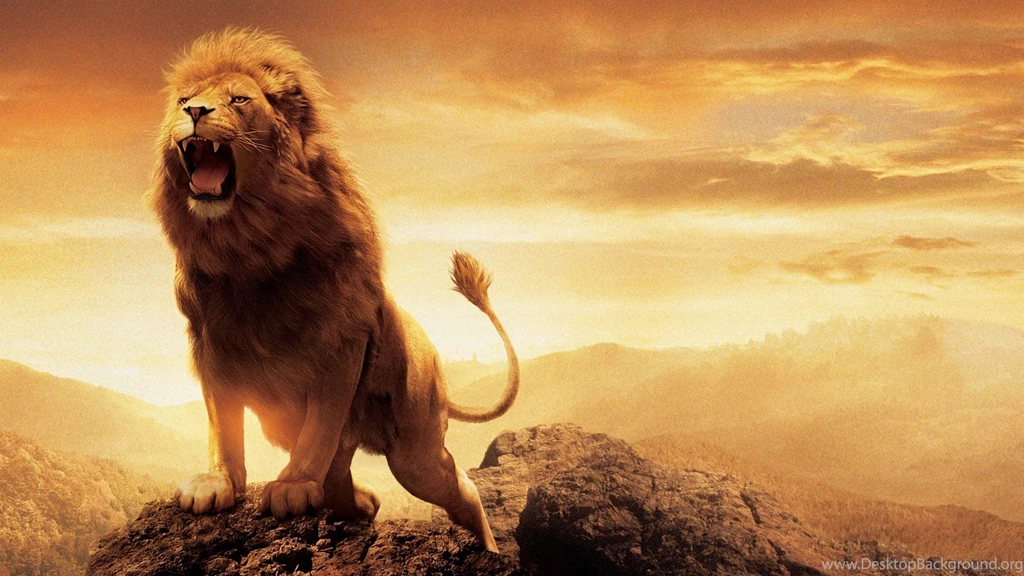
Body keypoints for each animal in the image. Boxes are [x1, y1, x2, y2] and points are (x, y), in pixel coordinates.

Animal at [151, 28, 518, 553]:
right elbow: (223, 423)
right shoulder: (211, 343)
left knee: (457, 485)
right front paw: (216, 482)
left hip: (415, 449)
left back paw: (488, 548)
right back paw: (363, 501)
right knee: (346, 478)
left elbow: (320, 428)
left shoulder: (340, 342)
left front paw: (292, 486)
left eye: (239, 100)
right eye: (184, 100)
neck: (248, 245)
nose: (196, 112)